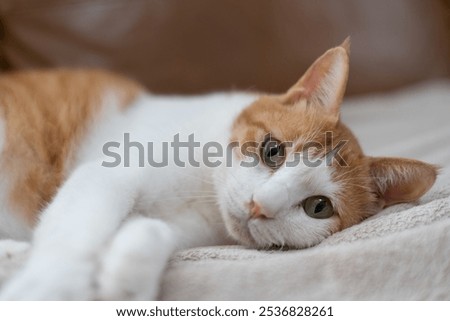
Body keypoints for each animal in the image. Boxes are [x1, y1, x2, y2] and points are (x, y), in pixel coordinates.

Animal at [0, 38, 438, 298]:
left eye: (319, 207)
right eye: (272, 151)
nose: (260, 206)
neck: (205, 191)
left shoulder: (185, 228)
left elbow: (150, 231)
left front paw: (126, 279)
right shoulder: (106, 173)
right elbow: (78, 231)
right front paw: (49, 287)